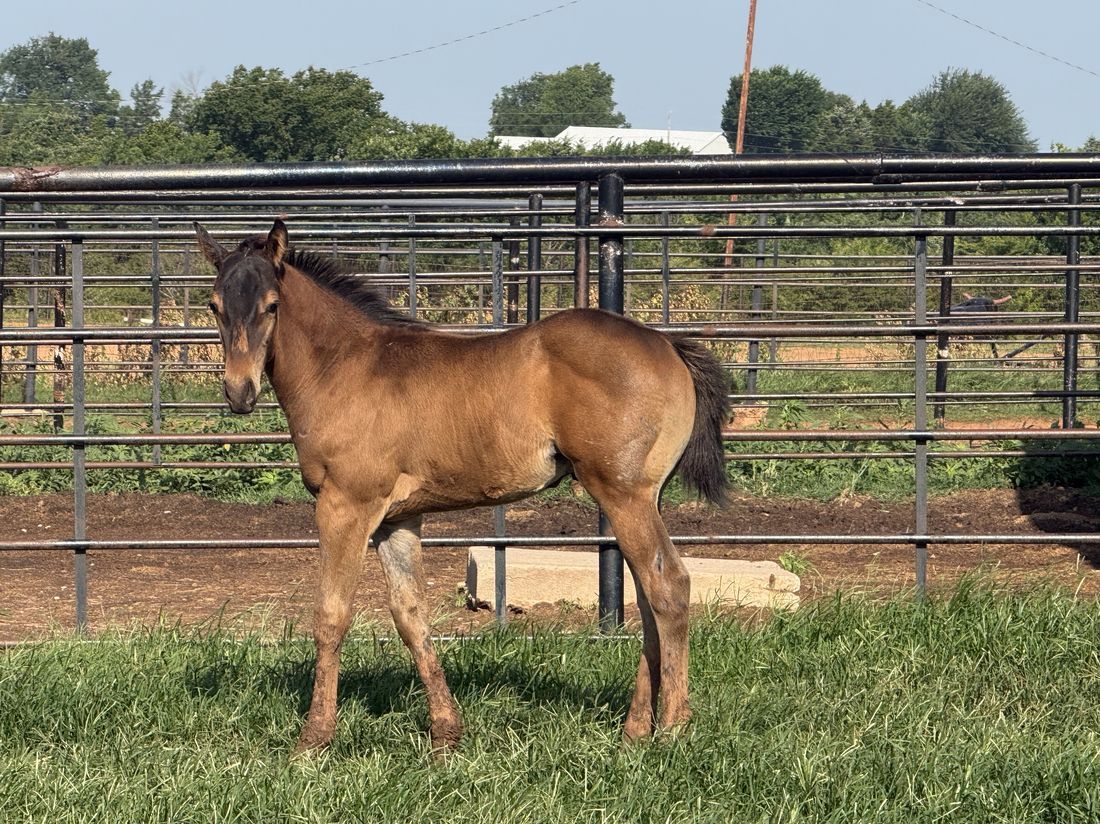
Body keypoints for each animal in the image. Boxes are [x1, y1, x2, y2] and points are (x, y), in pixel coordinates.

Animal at [195, 219, 729, 753]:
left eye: (272, 305)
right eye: (214, 305)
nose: (239, 392)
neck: (344, 367)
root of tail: (667, 344)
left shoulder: (346, 505)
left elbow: (331, 614)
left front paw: (314, 738)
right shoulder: (396, 519)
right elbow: (410, 614)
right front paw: (446, 731)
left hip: (624, 495)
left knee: (669, 586)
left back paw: (674, 727)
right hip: (641, 500)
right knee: (648, 595)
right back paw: (636, 728)